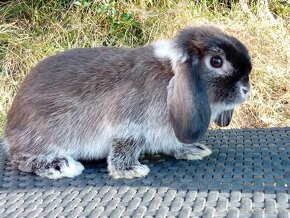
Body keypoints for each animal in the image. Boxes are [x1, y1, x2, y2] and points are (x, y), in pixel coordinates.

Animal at [2, 26, 251, 179]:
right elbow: (127, 145)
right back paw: (59, 165)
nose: (246, 90)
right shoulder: (129, 125)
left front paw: (193, 150)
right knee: (19, 158)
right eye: (216, 61)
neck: (168, 74)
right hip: (41, 137)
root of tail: (10, 130)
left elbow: (174, 143)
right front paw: (130, 170)